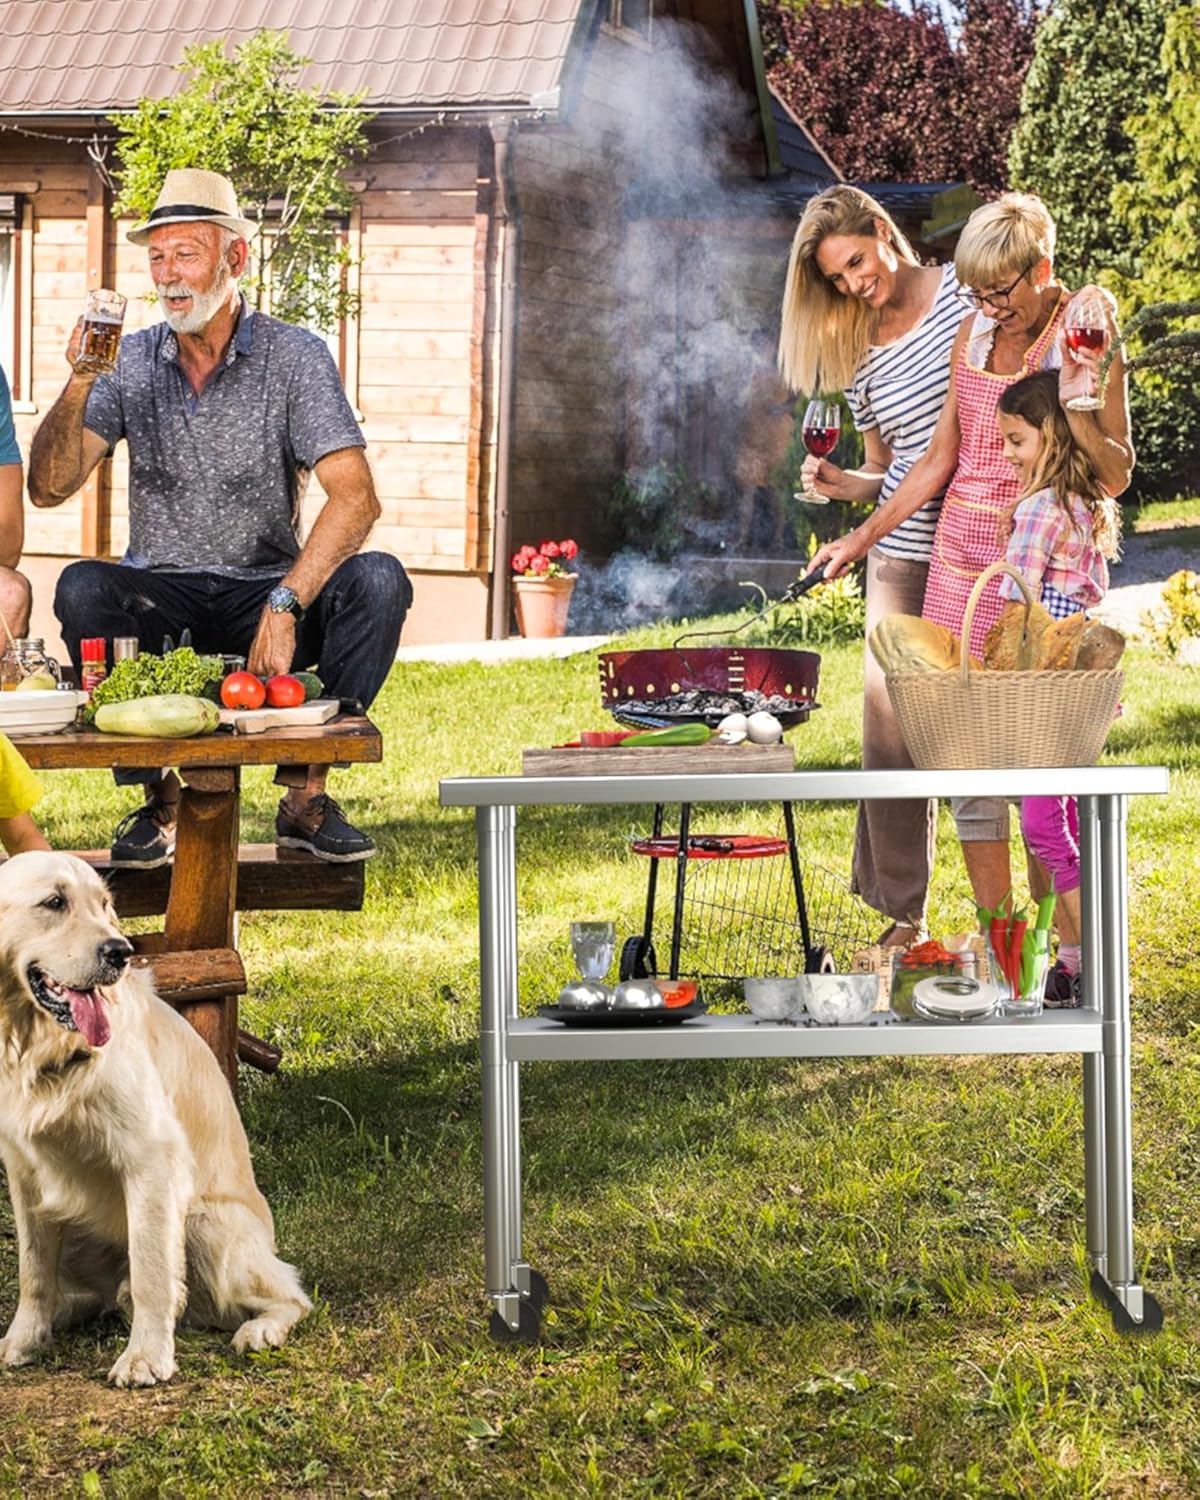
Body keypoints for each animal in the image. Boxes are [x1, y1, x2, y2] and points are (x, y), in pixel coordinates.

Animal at [1, 852, 309, 1386]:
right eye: (55, 902)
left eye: (105, 906)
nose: (120, 952)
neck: (46, 1049)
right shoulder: (24, 1174)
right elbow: (33, 1272)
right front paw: (24, 1339)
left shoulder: (151, 1158)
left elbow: (150, 1272)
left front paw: (145, 1356)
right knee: (93, 1296)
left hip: (206, 1225)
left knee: (291, 1294)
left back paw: (260, 1329)